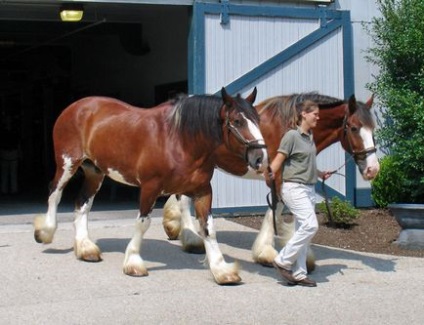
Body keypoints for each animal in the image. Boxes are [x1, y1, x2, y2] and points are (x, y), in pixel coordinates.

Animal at [33, 88, 266, 284]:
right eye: (237, 121)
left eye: (258, 119)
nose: (260, 158)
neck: (179, 141)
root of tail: (76, 107)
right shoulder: (150, 188)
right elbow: (142, 223)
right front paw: (133, 262)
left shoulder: (202, 192)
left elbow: (209, 229)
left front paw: (221, 270)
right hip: (67, 164)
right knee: (55, 193)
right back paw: (45, 232)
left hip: (95, 171)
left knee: (82, 203)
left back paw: (85, 248)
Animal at [161, 92, 378, 270]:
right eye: (354, 128)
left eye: (373, 129)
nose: (373, 169)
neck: (290, 126)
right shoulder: (278, 178)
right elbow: (276, 210)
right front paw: (266, 251)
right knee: (183, 199)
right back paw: (191, 238)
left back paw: (174, 226)